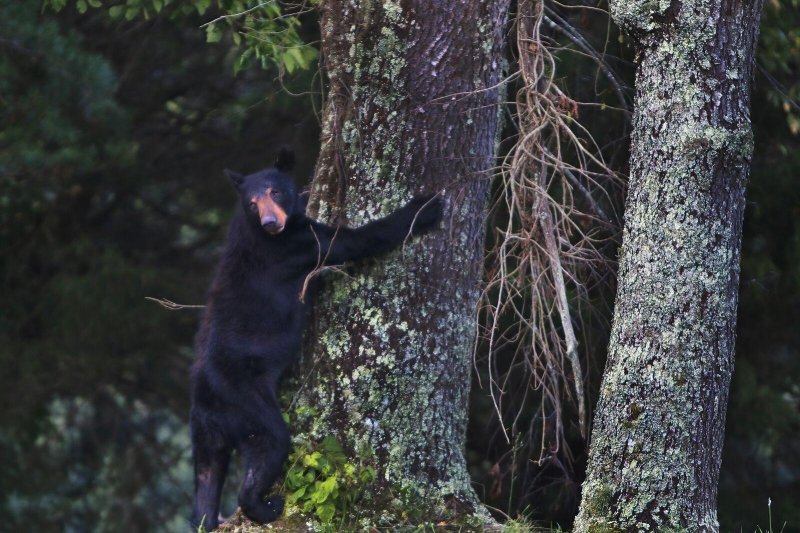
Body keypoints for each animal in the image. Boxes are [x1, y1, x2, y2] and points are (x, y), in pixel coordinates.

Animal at [191, 148, 446, 528]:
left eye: (275, 192)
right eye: (252, 203)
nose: (271, 222)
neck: (258, 231)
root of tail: (208, 395)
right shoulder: (295, 246)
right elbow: (352, 241)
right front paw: (425, 206)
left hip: (204, 432)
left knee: (205, 478)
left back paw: (208, 517)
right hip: (245, 399)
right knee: (270, 441)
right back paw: (265, 505)